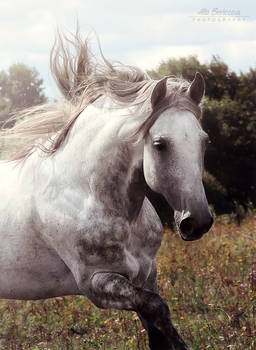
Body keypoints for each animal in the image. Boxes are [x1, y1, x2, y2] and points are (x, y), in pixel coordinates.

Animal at [0, 31, 212, 348]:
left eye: (204, 140)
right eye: (160, 144)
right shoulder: (97, 282)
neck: (88, 194)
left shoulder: (146, 273)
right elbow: (158, 309)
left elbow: (157, 325)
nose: (197, 222)